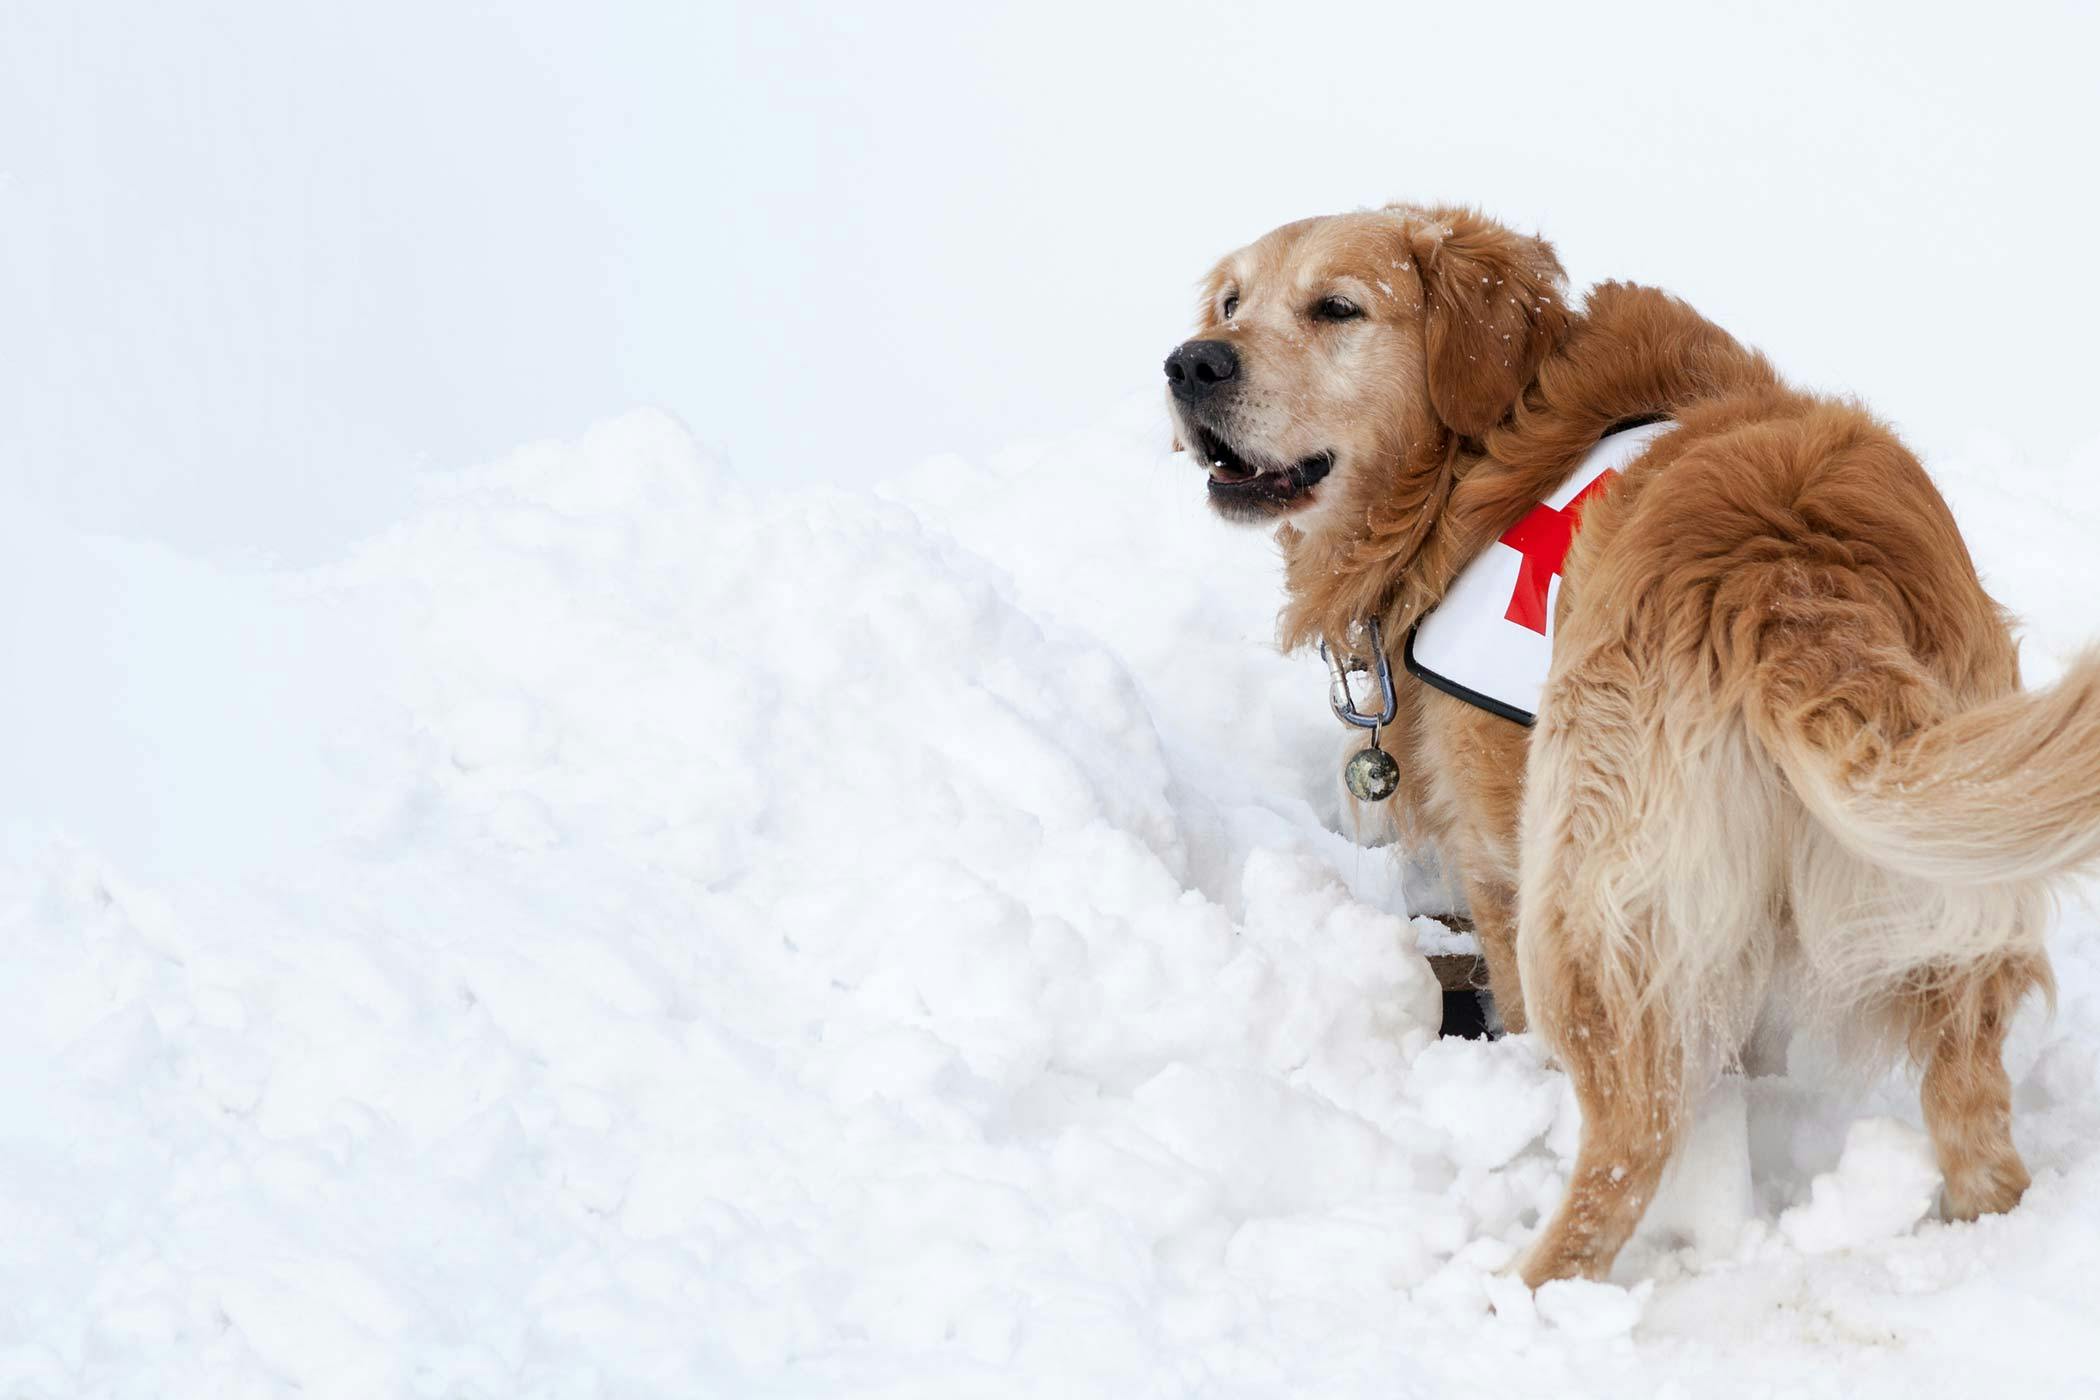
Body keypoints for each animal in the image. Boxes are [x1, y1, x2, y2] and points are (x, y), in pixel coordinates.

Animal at [1167, 202, 2100, 1284]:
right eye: (1231, 303)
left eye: (1337, 308)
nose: (1189, 363)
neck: (1480, 452)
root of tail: (1796, 576)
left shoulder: (1498, 857)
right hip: (1948, 906)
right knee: (1978, 1126)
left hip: (1587, 897)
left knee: (1633, 1138)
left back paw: (1515, 1289)